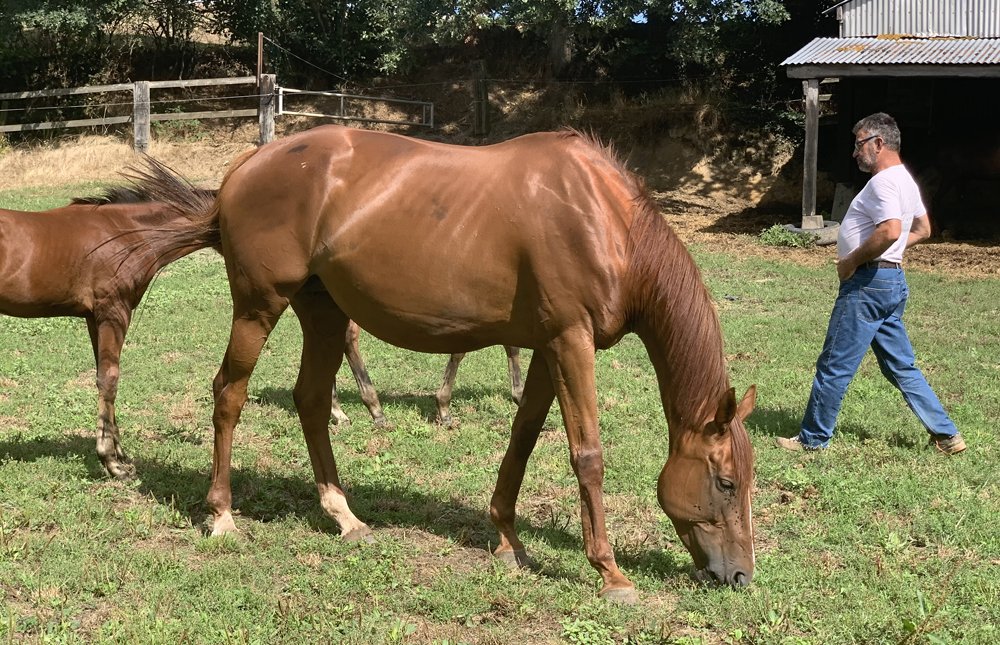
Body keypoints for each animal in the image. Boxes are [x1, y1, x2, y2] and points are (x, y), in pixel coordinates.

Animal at [0, 162, 218, 479]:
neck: (124, 234)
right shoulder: (113, 312)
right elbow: (109, 378)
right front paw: (111, 462)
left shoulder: (94, 318)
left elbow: (102, 374)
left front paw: (119, 453)